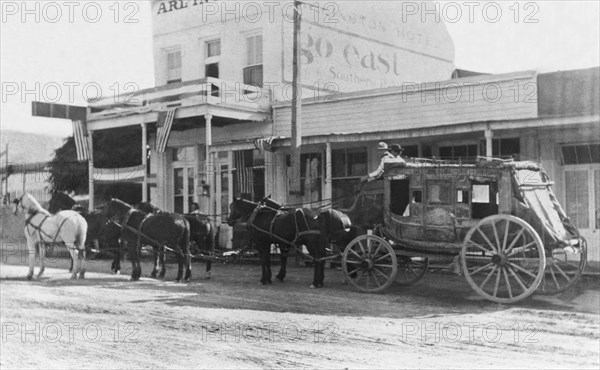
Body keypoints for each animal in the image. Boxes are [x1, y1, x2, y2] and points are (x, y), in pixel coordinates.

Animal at [226, 198, 356, 288]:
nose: (229, 221)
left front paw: (264, 280)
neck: (259, 215)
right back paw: (320, 281)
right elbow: (269, 260)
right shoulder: (270, 243)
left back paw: (315, 282)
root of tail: (317, 216)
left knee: (318, 260)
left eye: (232, 208)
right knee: (321, 259)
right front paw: (270, 278)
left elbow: (264, 261)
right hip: (319, 244)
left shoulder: (261, 243)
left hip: (311, 244)